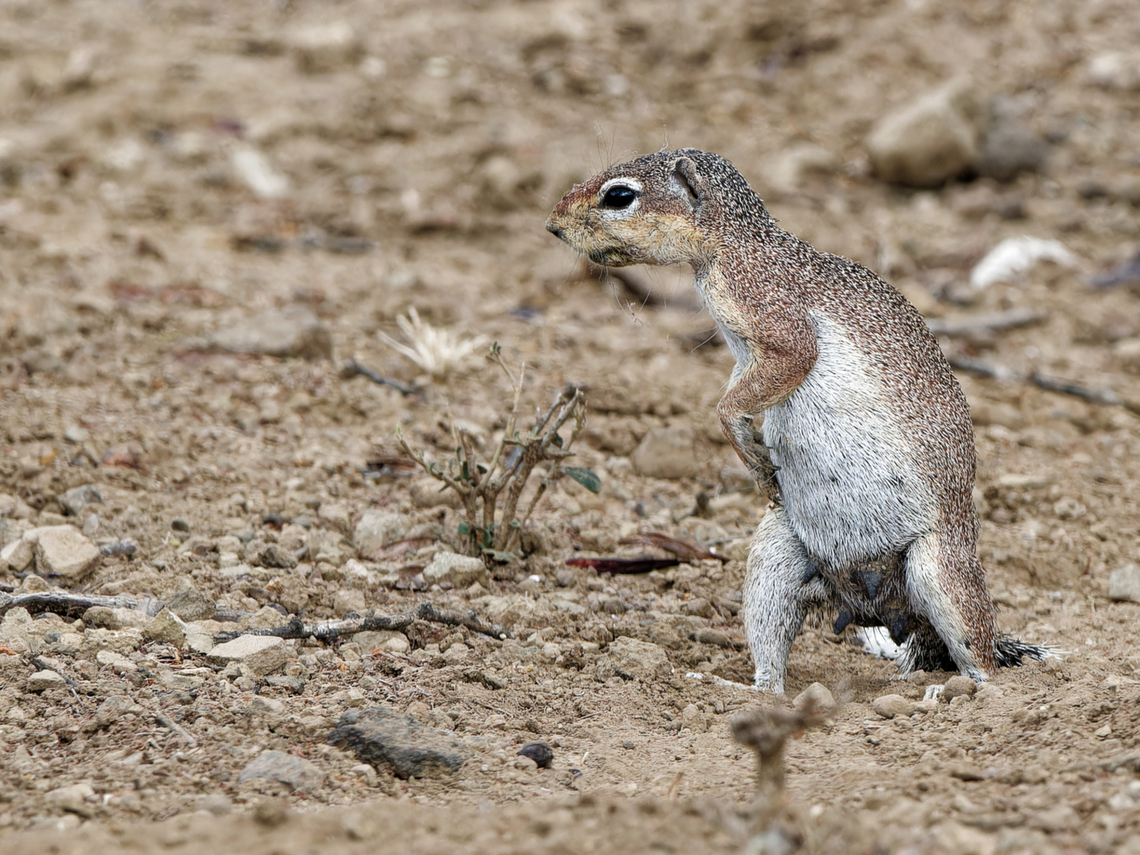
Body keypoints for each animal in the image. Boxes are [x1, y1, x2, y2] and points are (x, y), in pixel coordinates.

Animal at [546, 148, 1047, 693]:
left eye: (619, 196)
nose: (552, 224)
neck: (731, 243)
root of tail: (878, 606)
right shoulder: (746, 356)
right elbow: (739, 387)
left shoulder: (768, 307)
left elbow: (767, 375)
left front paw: (744, 442)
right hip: (775, 561)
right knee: (772, 658)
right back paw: (741, 688)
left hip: (942, 571)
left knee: (980, 657)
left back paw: (959, 691)